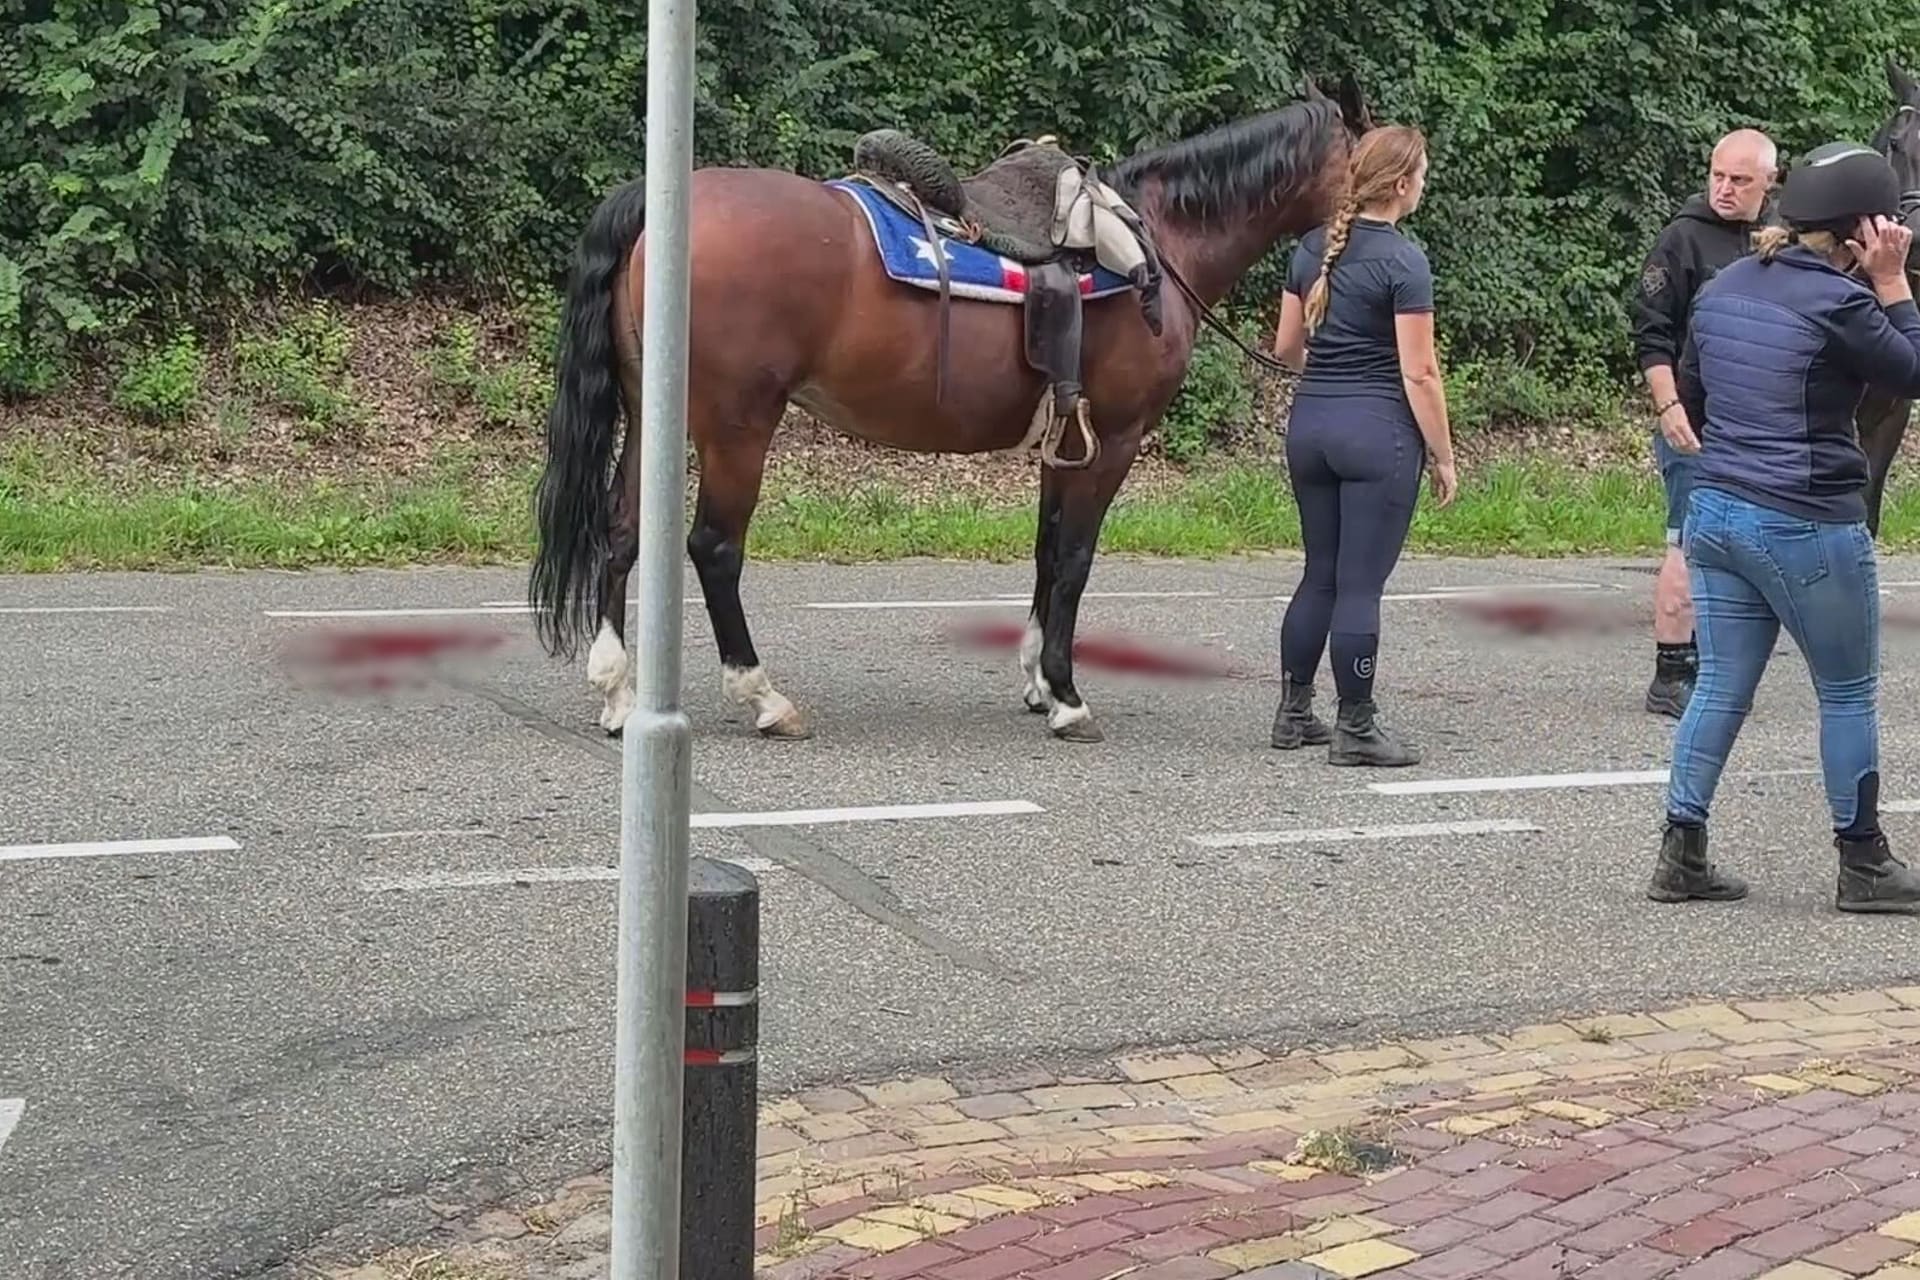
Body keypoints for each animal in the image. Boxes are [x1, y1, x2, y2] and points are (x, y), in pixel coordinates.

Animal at [526, 80, 1372, 744]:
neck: (1157, 244)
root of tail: (659, 203)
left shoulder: (1064, 439)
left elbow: (1046, 551)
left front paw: (1037, 681)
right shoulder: (1113, 439)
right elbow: (1075, 559)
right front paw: (1067, 696)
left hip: (652, 412)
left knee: (622, 531)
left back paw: (619, 691)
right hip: (738, 424)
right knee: (714, 548)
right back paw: (763, 697)